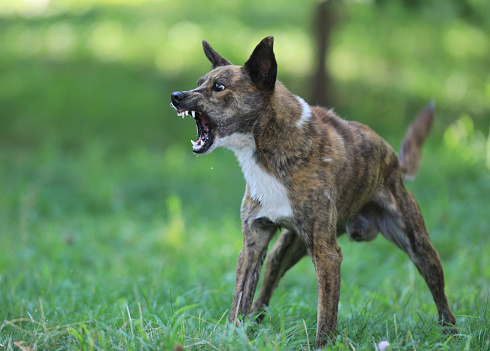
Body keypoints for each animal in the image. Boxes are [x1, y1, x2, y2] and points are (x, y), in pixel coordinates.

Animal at [170, 36, 458, 350]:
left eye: (219, 87)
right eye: (199, 83)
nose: (176, 96)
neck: (268, 146)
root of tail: (393, 159)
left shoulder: (327, 254)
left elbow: (325, 313)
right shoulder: (253, 243)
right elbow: (240, 299)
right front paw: (233, 338)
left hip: (419, 246)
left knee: (440, 294)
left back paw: (452, 334)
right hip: (283, 250)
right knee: (264, 293)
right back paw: (254, 325)